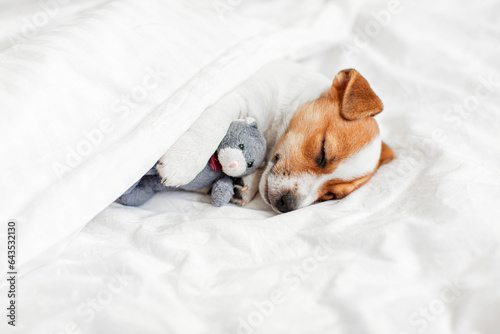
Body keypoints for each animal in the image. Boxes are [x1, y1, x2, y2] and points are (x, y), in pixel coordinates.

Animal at [158, 61, 392, 213]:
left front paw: (246, 183)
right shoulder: (239, 96)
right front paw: (183, 162)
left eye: (330, 196)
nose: (287, 205)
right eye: (323, 151)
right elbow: (215, 122)